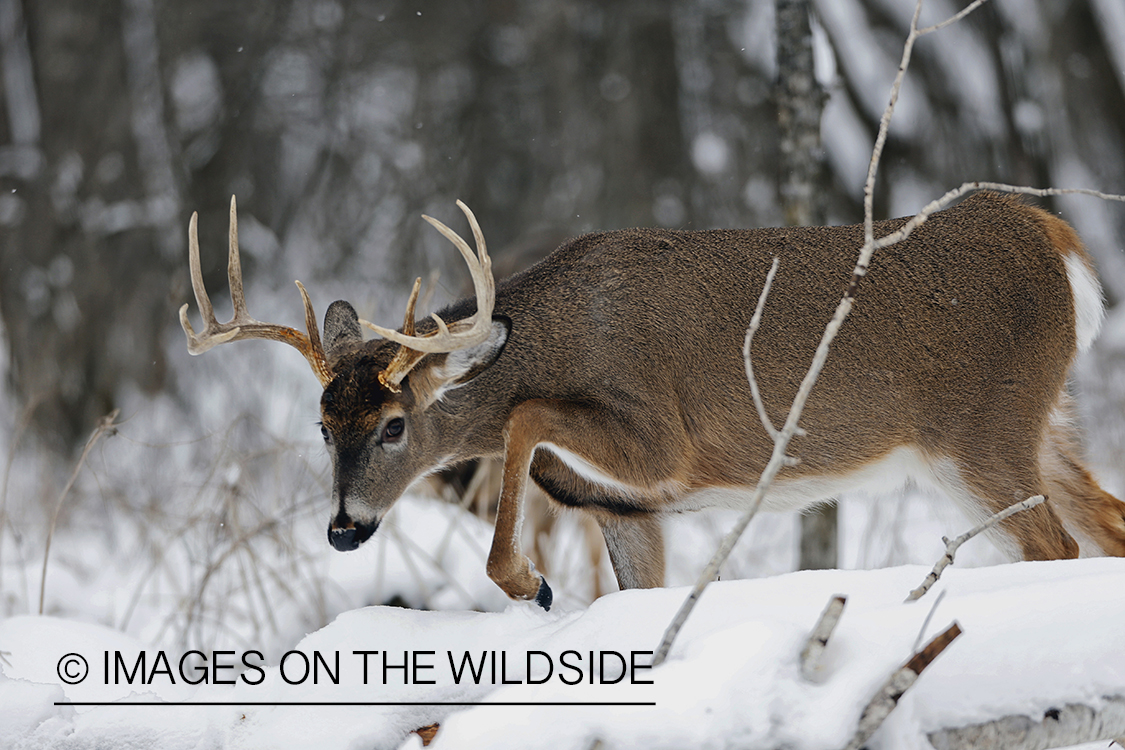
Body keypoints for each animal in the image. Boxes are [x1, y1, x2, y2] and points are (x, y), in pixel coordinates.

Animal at [180, 192, 1125, 611]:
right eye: (321, 424)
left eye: (393, 427)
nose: (344, 529)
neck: (558, 330)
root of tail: (1059, 240)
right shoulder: (625, 508)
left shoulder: (663, 443)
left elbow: (522, 414)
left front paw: (527, 582)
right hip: (1042, 422)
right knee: (1106, 523)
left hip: (980, 430)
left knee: (1053, 544)